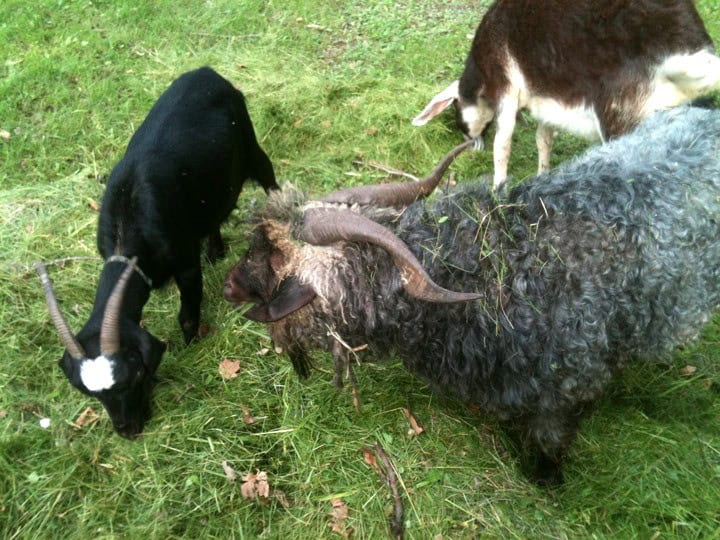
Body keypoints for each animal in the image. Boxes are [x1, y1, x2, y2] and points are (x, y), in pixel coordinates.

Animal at [37, 66, 278, 438]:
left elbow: (187, 314)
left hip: (251, 148)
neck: (128, 223)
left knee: (270, 181)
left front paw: (191, 344)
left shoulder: (185, 264)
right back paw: (215, 249)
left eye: (134, 375)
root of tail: (206, 72)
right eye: (88, 392)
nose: (128, 430)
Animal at [225, 106, 720, 484]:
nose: (228, 284)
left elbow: (550, 439)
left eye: (270, 257)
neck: (490, 268)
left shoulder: (567, 387)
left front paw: (546, 479)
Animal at [412, 0, 720, 188]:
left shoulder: (506, 87)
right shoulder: (545, 99)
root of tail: (687, 54)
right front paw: (542, 175)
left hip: (621, 116)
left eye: (454, 112)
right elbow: (543, 138)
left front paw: (497, 189)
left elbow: (503, 144)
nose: (471, 143)